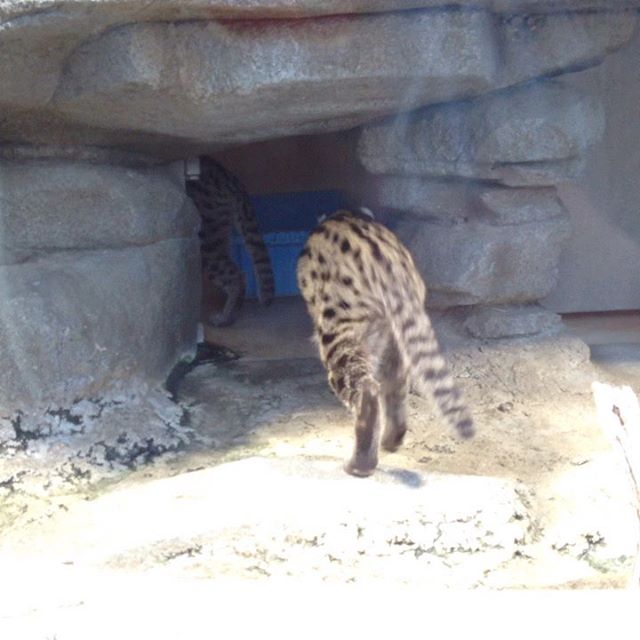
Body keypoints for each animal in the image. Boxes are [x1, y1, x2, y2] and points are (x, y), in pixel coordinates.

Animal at [298, 208, 472, 478]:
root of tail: (392, 264)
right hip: (395, 336)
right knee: (396, 386)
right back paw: (392, 440)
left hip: (343, 332)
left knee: (367, 389)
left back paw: (360, 464)